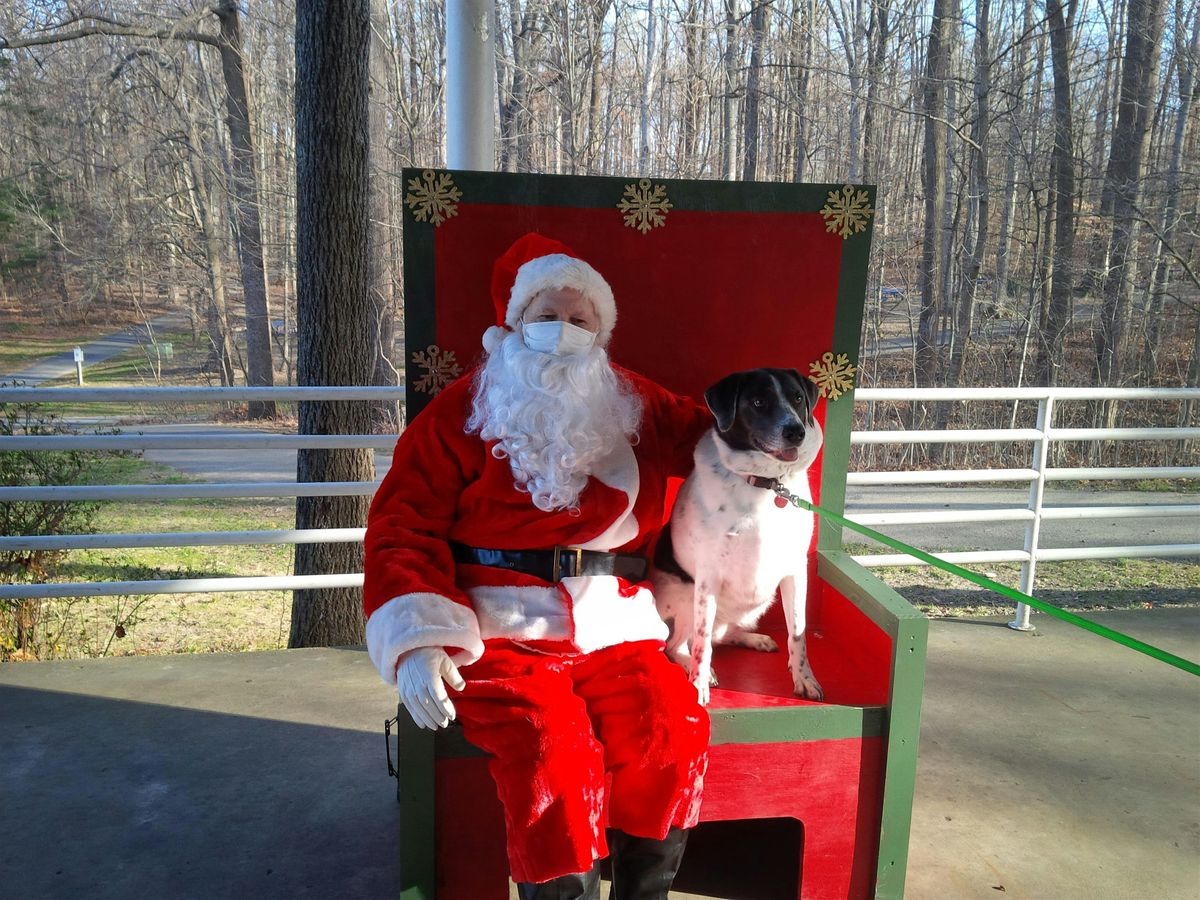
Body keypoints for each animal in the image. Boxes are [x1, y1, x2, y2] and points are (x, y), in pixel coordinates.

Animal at [657, 369, 825, 710]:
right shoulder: (707, 578)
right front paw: (698, 684)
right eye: (758, 401)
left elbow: (797, 632)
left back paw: (754, 638)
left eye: (796, 398)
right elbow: (702, 643)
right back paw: (698, 669)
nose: (796, 432)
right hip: (685, 594)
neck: (766, 484)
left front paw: (804, 678)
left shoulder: (795, 570)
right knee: (679, 644)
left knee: (722, 634)